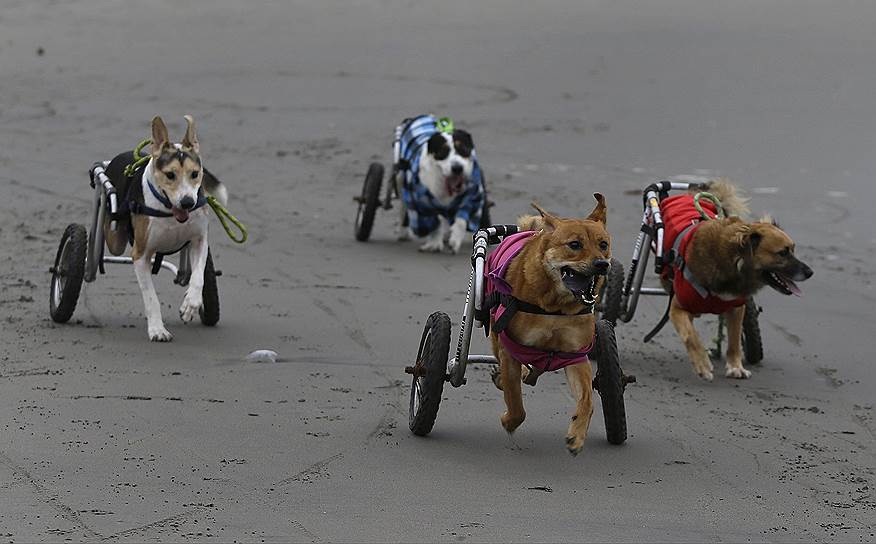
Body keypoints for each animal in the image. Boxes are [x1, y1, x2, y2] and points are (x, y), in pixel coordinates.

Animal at [103, 117, 228, 342]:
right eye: (170, 175)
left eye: (195, 174)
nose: (187, 202)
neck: (169, 211)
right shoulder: (140, 255)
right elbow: (151, 297)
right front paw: (157, 330)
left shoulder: (199, 241)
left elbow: (198, 277)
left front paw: (190, 305)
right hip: (114, 237)